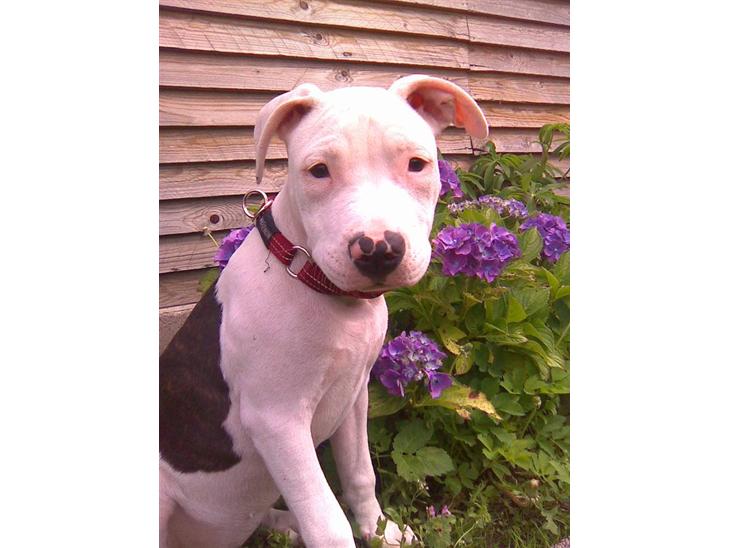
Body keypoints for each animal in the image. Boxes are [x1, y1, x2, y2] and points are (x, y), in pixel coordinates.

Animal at [160, 75, 488, 547]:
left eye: (417, 165)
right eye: (318, 171)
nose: (378, 250)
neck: (317, 285)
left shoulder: (353, 394)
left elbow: (360, 474)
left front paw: (379, 531)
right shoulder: (277, 420)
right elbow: (327, 524)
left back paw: (286, 526)